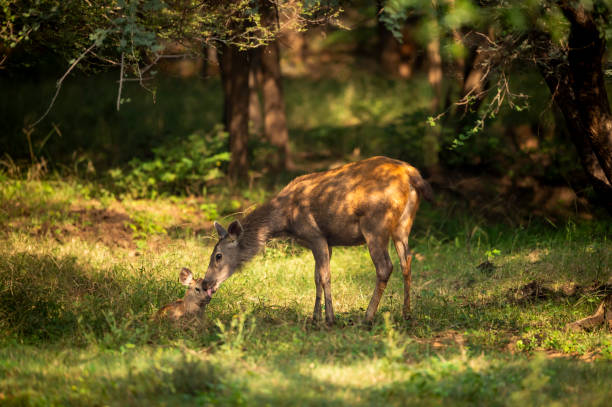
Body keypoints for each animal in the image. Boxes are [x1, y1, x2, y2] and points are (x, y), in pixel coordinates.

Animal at [201, 156, 430, 326]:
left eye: (218, 256)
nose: (205, 283)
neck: (285, 219)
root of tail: (412, 175)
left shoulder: (316, 235)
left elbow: (325, 276)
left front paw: (329, 318)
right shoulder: (326, 242)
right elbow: (316, 277)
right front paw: (314, 317)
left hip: (375, 225)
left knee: (385, 267)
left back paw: (367, 317)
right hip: (403, 225)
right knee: (407, 262)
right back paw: (407, 314)